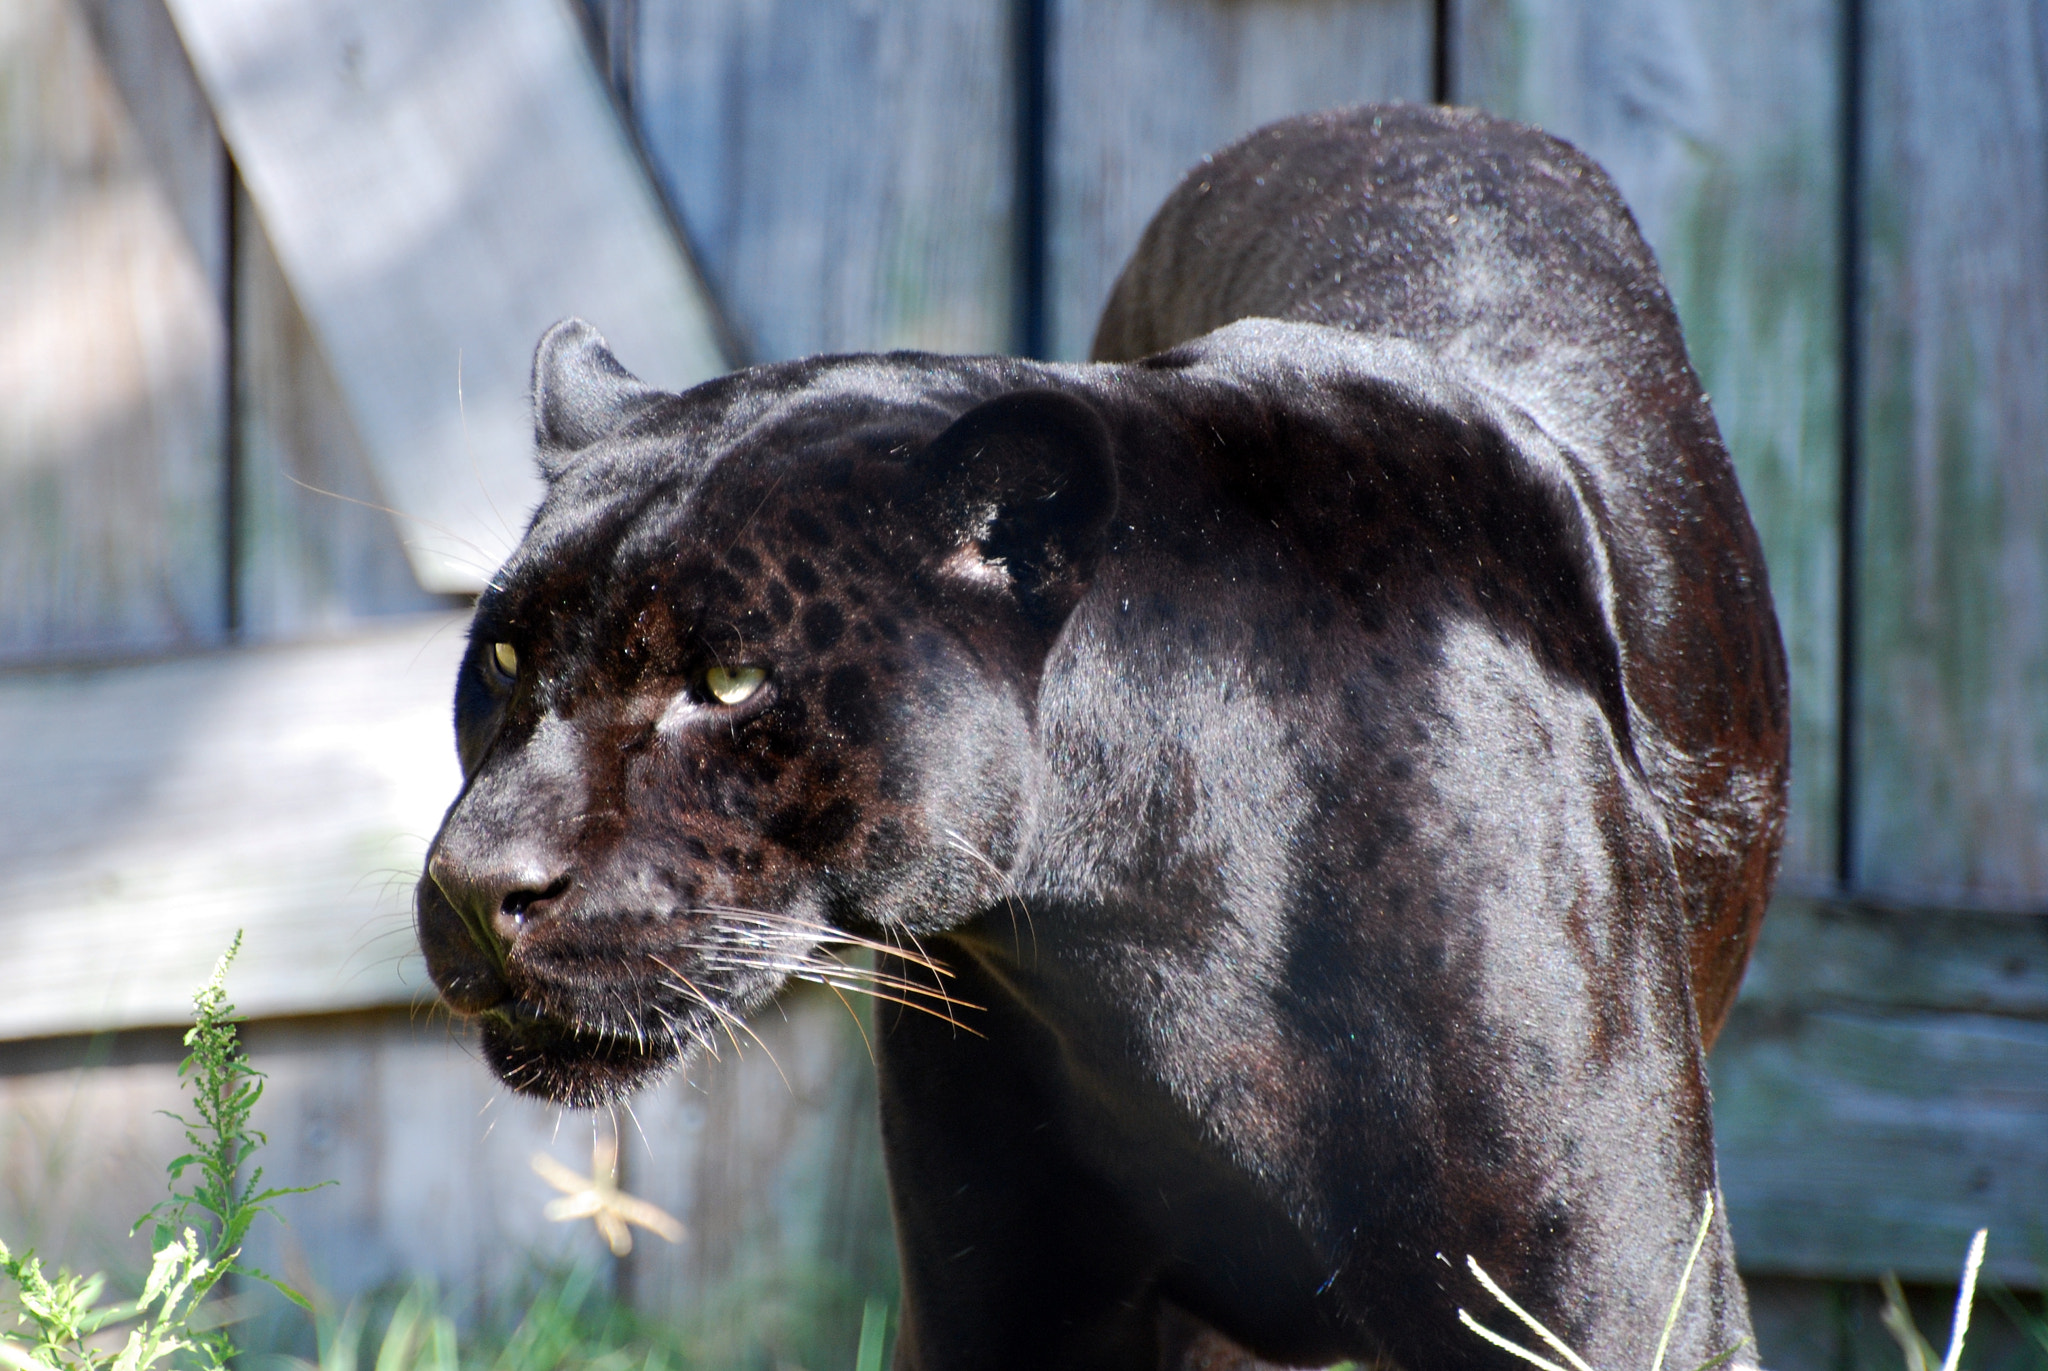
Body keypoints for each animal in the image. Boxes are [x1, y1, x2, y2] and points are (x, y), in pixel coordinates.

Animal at [417, 103, 1788, 1371]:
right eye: (504, 660)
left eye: (729, 680)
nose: (477, 887)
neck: (1151, 939)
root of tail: (1418, 117)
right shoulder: (1000, 1303)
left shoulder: (1616, 1308)